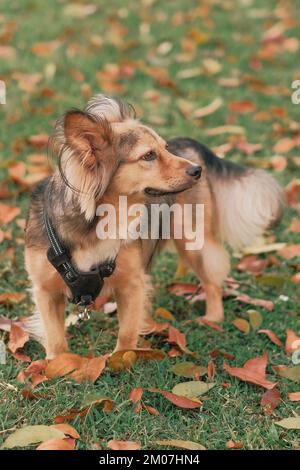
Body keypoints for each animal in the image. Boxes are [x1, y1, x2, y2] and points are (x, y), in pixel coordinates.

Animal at [24, 95, 284, 360]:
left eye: (165, 148)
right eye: (148, 156)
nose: (197, 170)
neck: (104, 221)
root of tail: (186, 144)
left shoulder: (132, 284)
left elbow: (127, 333)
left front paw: (120, 361)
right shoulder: (45, 291)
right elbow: (56, 338)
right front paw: (57, 363)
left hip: (193, 241)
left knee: (212, 280)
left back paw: (212, 318)